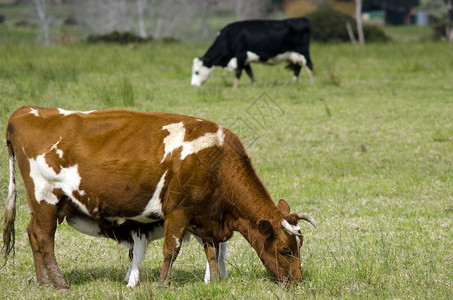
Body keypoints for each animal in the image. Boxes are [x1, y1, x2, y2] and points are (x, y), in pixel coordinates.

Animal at [1, 106, 316, 290]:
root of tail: (24, 111)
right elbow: (171, 249)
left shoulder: (205, 216)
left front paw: (214, 282)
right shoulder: (178, 210)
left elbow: (212, 251)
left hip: (41, 205)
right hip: (45, 198)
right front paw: (164, 284)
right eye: (286, 249)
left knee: (32, 234)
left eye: (299, 247)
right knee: (44, 238)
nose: (297, 281)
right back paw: (59, 282)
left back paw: (43, 282)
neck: (215, 157)